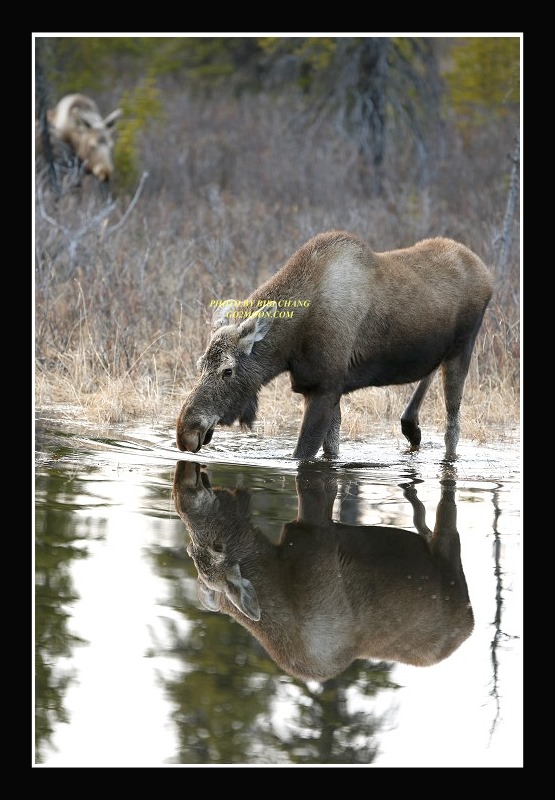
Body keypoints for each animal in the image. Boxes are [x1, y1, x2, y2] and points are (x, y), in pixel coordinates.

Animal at [176, 228, 494, 460]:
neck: (290, 348)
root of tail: (488, 275)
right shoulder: (327, 387)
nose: (185, 432)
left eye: (227, 370)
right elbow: (332, 448)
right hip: (443, 348)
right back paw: (411, 426)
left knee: (452, 425)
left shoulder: (324, 386)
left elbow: (302, 454)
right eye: (201, 365)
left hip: (464, 345)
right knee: (431, 368)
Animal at [176, 462, 476, 680]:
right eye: (192, 549)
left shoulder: (315, 526)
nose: (183, 490)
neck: (277, 571)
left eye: (217, 546)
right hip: (445, 554)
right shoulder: (315, 528)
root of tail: (468, 627)